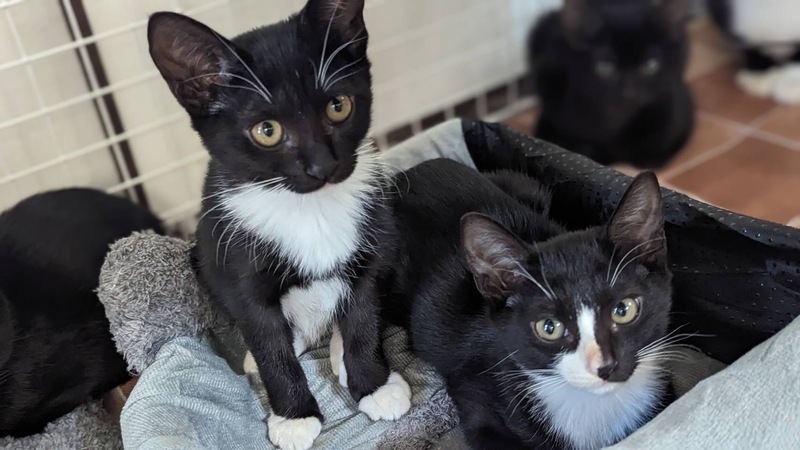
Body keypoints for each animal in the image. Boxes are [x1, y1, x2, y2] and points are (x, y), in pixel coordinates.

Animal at [147, 1, 411, 449]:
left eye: (338, 106)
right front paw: (293, 416)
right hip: (205, 254)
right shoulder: (238, 267)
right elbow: (270, 344)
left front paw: (374, 385)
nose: (323, 166)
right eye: (266, 131)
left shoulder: (370, 245)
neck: (308, 209)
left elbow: (362, 316)